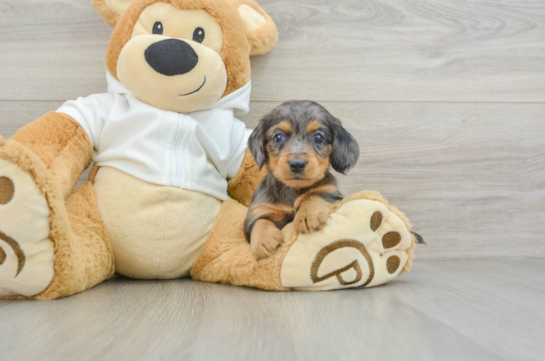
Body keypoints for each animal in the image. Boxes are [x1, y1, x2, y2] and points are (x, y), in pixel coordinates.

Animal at [244, 100, 360, 260]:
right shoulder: (259, 209)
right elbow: (259, 220)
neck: (292, 190)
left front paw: (307, 215)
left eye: (318, 137)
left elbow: (313, 195)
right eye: (278, 137)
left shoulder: (331, 192)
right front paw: (263, 240)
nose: (297, 164)